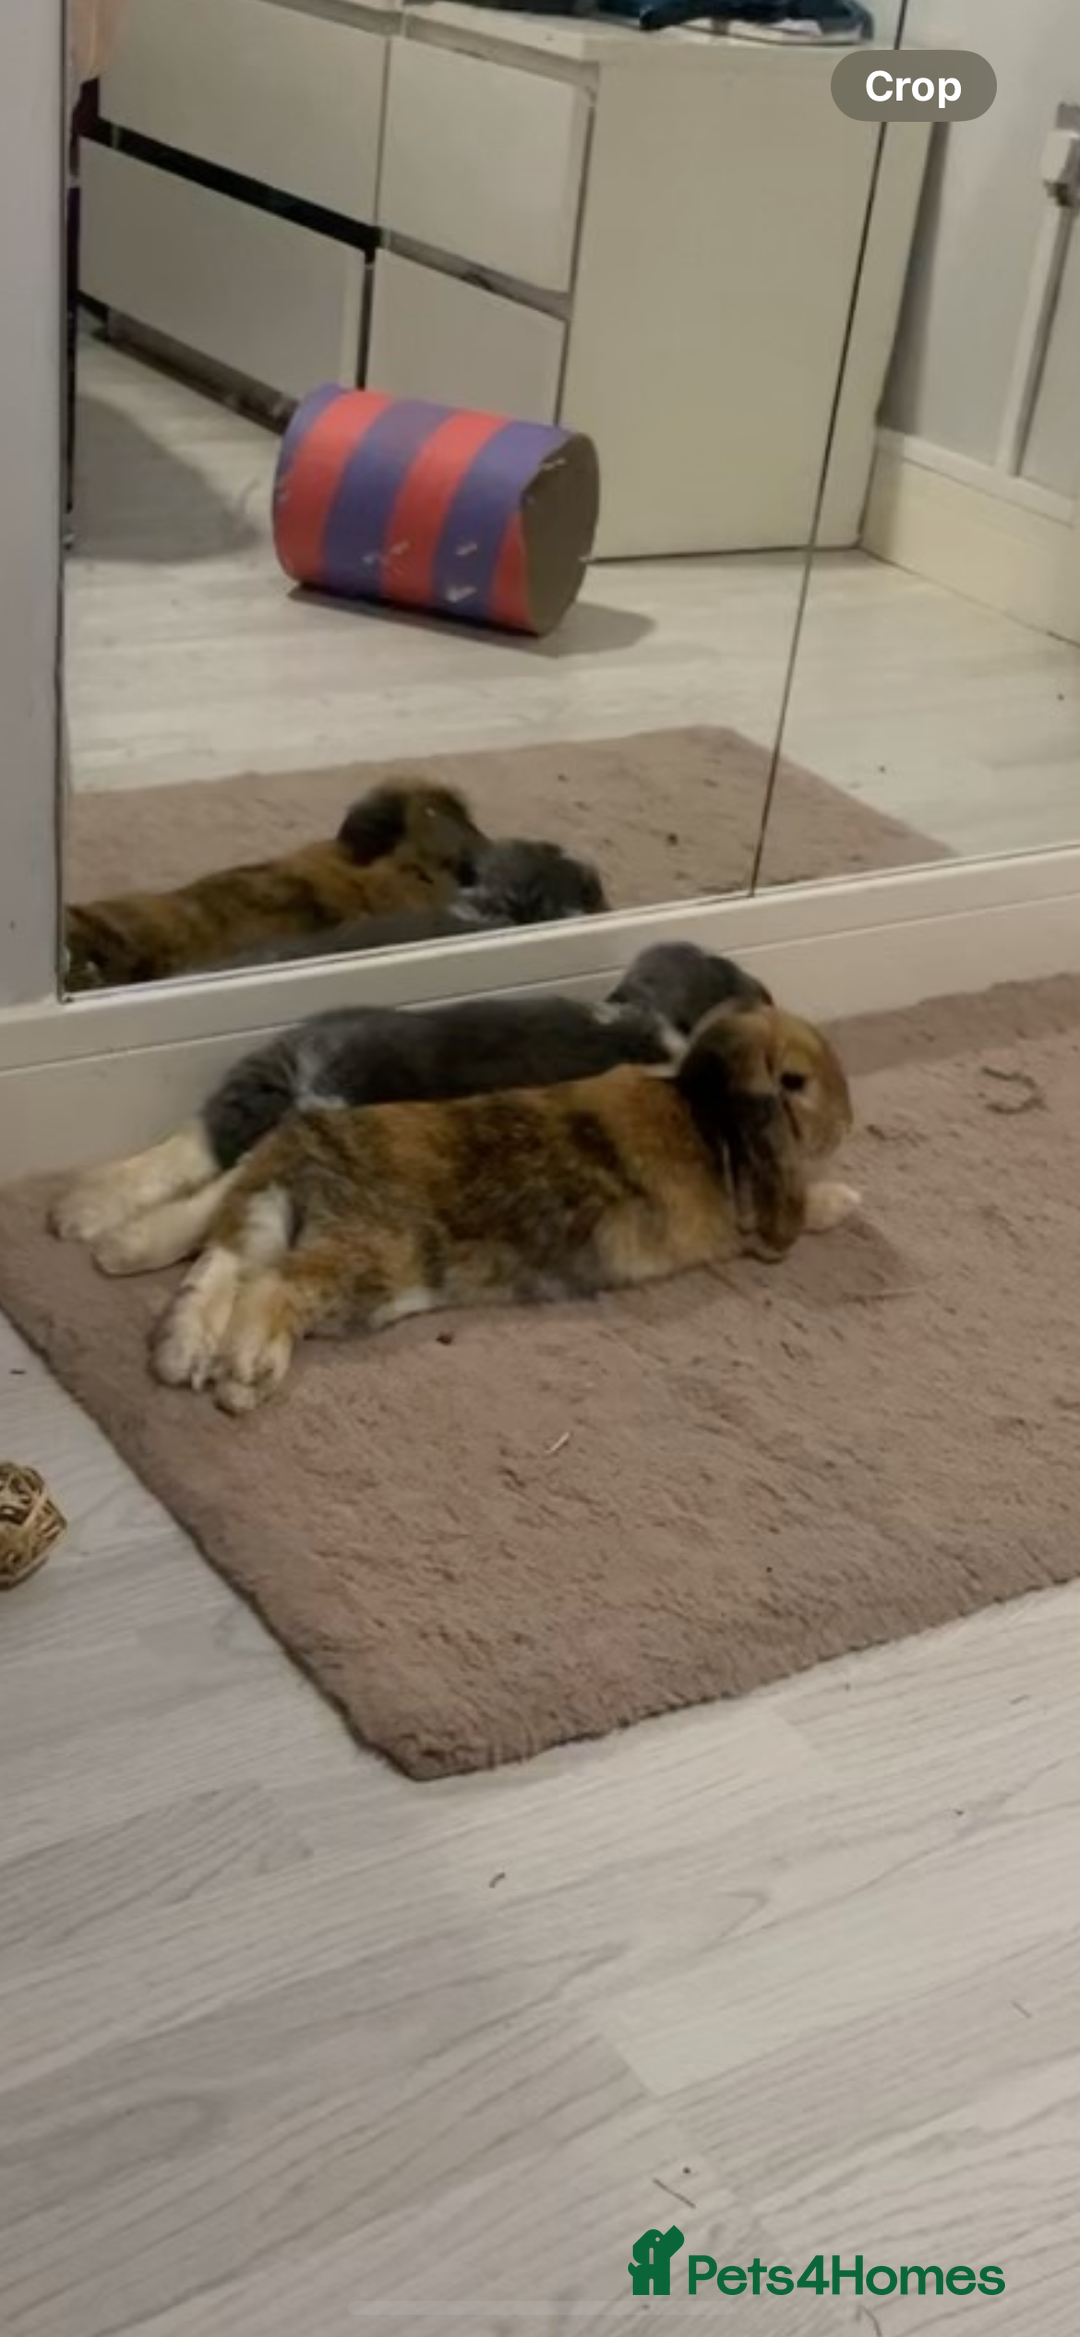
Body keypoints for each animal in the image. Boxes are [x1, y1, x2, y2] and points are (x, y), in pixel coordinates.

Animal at [51, 943, 772, 1274]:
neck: (648, 1019)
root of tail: (316, 1061)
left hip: (251, 1094)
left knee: (187, 1148)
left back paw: (82, 1214)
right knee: (216, 1190)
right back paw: (123, 1247)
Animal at [149, 1001, 857, 1413]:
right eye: (795, 1083)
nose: (848, 1124)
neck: (706, 1111)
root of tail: (303, 1152)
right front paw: (847, 1198)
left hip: (278, 1227)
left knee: (224, 1267)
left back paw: (194, 1356)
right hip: (363, 1261)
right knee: (272, 1284)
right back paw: (245, 1372)